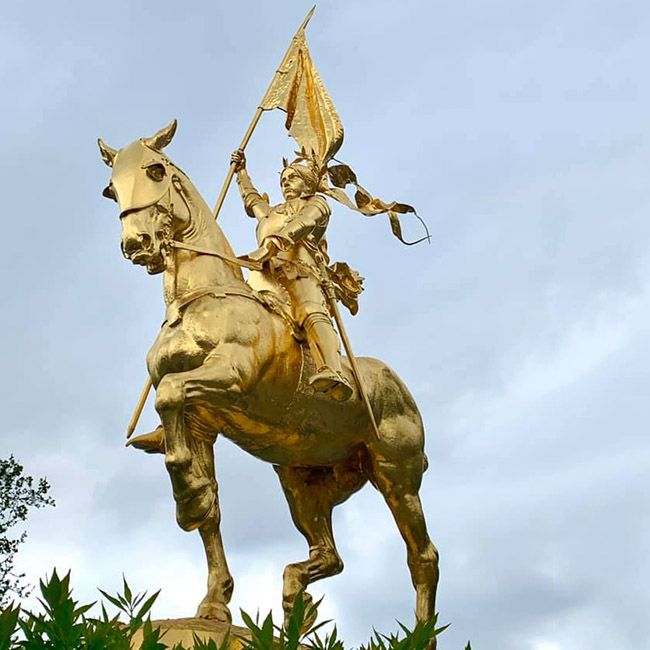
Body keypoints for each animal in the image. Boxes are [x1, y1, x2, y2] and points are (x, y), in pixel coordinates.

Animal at [96, 120, 438, 628]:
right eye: (110, 188)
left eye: (156, 170)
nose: (137, 245)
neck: (200, 300)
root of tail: (399, 387)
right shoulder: (200, 423)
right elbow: (209, 507)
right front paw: (214, 599)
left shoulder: (229, 379)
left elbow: (170, 394)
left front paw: (188, 491)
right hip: (303, 478)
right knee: (329, 554)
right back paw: (295, 599)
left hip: (397, 475)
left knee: (422, 556)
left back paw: (420, 633)